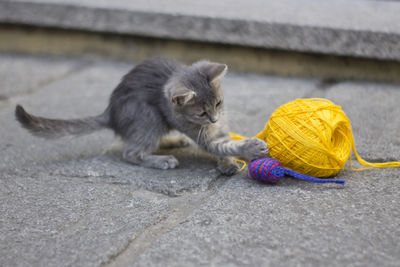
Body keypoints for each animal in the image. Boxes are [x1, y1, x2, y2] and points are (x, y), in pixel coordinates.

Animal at [14, 57, 268, 176]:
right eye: (202, 112)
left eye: (218, 103)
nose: (214, 119)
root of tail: (111, 113)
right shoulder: (204, 135)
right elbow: (224, 146)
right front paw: (251, 148)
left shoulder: (221, 127)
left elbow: (226, 144)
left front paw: (228, 164)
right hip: (149, 117)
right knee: (131, 152)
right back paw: (161, 159)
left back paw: (174, 141)